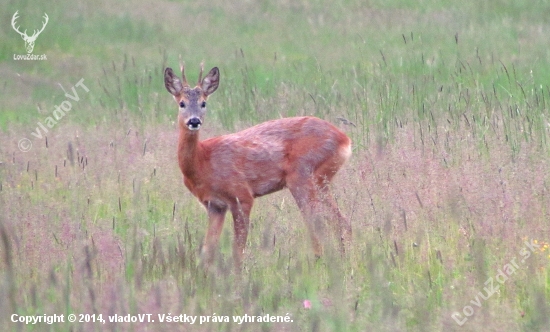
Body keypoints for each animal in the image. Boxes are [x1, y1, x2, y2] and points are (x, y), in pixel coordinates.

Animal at [165, 62, 354, 270]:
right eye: (182, 103)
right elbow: (209, 249)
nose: (194, 121)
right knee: (342, 223)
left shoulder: (241, 195)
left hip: (302, 177)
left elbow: (238, 249)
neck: (202, 161)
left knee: (317, 224)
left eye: (203, 103)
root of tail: (345, 140)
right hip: (321, 181)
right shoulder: (215, 205)